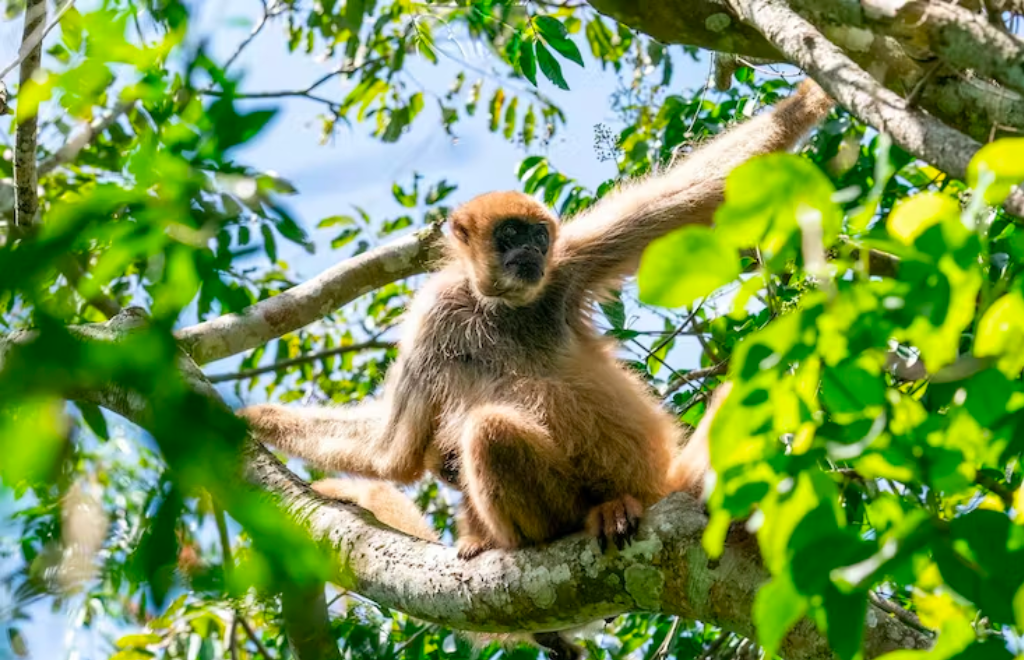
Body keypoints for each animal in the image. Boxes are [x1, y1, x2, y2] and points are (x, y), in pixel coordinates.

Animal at [239, 79, 831, 556]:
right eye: (510, 234)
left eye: (539, 236)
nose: (530, 251)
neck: (501, 308)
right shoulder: (436, 316)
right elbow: (393, 453)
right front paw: (248, 420)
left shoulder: (565, 269)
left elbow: (697, 195)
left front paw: (813, 92)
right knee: (490, 431)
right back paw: (586, 519)